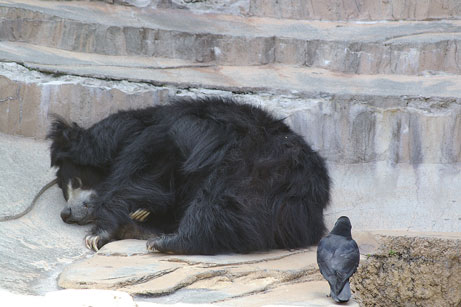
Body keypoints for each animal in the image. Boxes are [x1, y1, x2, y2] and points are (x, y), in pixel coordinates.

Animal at [47, 98, 330, 255]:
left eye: (75, 181)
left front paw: (100, 233)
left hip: (250, 167)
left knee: (218, 200)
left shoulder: (154, 142)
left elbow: (143, 177)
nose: (66, 214)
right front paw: (138, 217)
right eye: (64, 189)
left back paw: (171, 241)